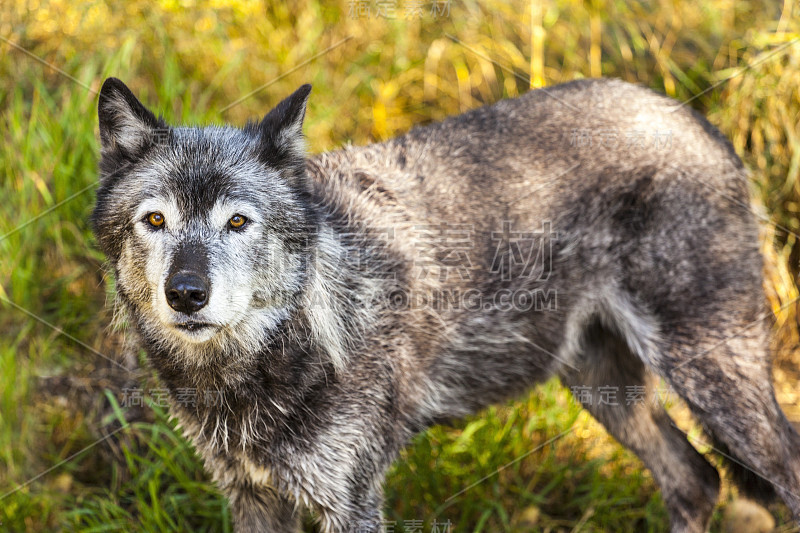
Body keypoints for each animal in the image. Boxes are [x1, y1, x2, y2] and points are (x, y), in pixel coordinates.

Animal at [92, 76, 800, 532]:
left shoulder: (352, 501)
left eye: (238, 222)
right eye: (155, 220)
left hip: (710, 374)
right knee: (696, 480)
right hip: (603, 388)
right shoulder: (252, 498)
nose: (186, 294)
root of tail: (696, 117)